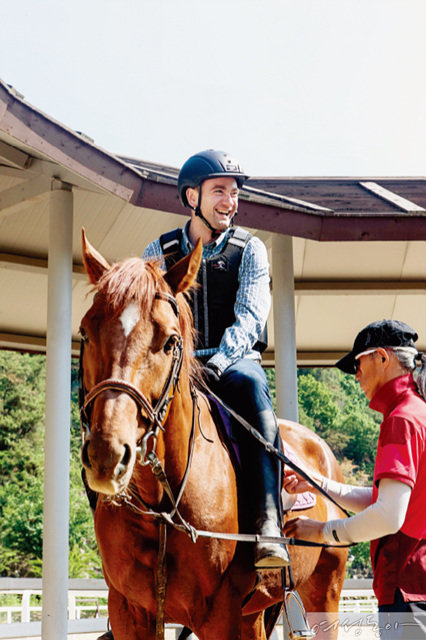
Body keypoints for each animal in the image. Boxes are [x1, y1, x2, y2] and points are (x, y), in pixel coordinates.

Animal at [79, 231, 346, 640]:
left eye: (170, 341)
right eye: (85, 332)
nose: (107, 455)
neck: (162, 507)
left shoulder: (224, 617)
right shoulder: (128, 612)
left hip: (323, 592)